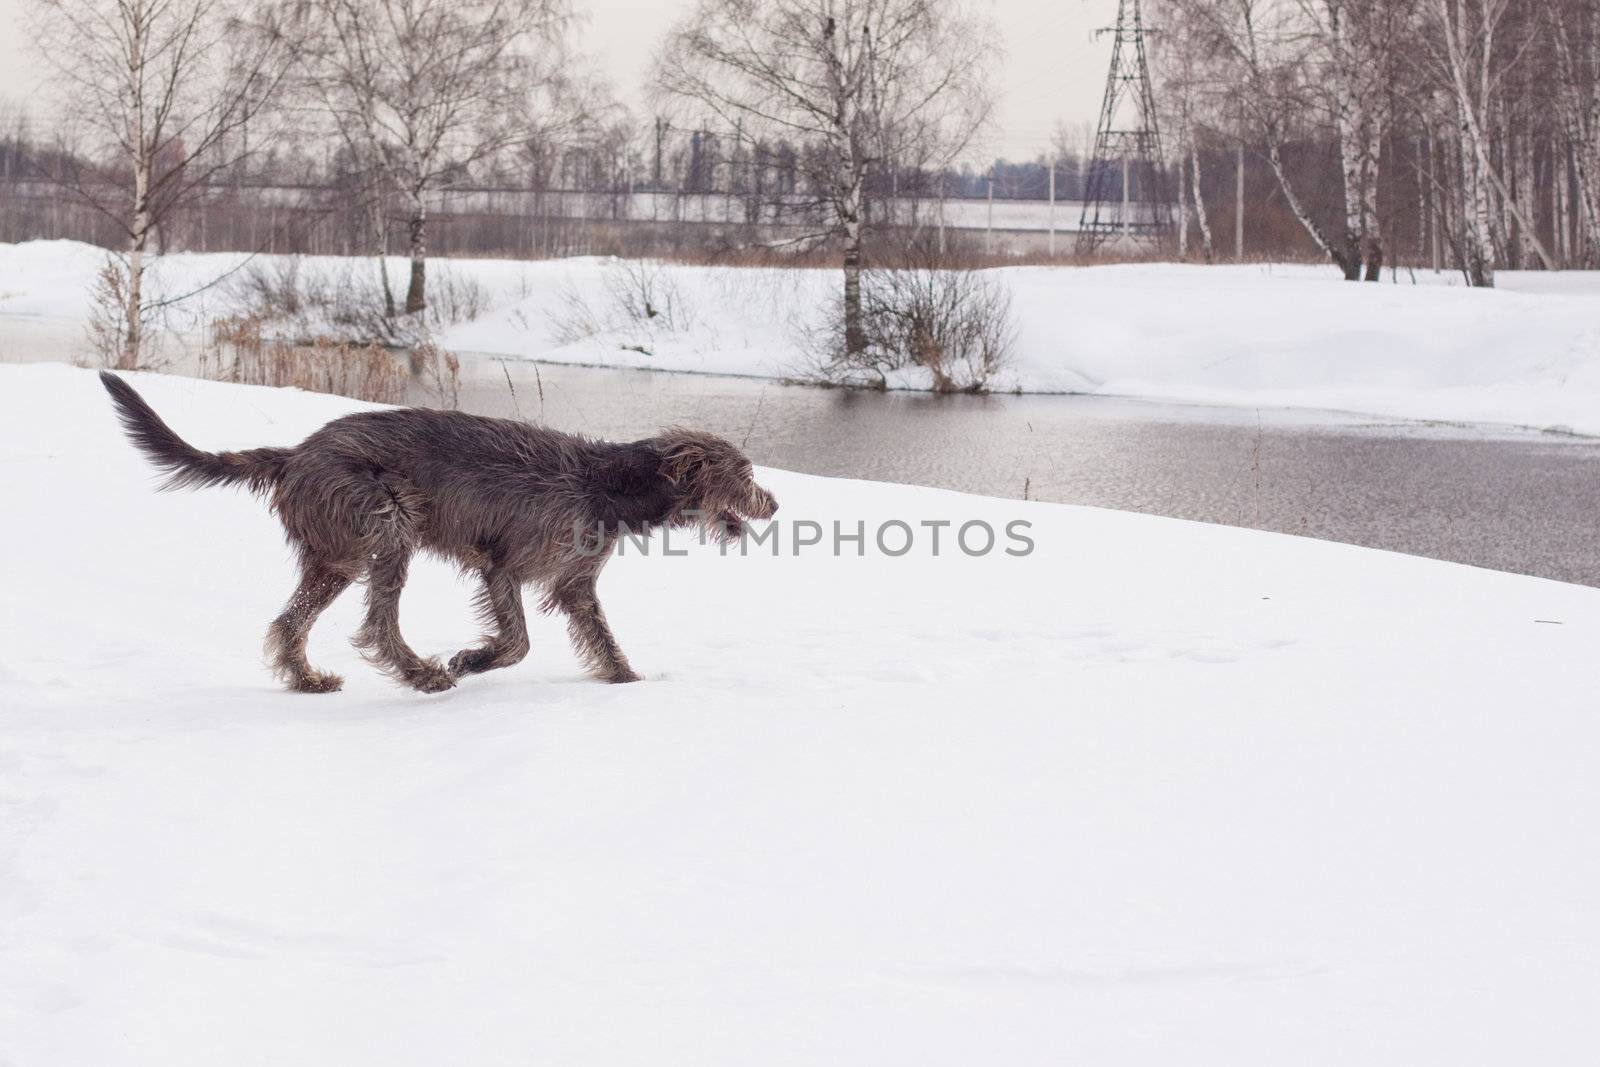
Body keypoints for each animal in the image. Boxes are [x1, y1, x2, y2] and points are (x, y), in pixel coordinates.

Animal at [98, 371, 774, 697]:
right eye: (744, 473)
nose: (773, 501)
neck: (608, 484)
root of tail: (296, 454)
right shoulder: (503, 566)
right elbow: (518, 641)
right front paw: (472, 660)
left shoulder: (576, 585)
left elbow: (602, 638)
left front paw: (630, 684)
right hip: (387, 529)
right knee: (377, 624)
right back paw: (423, 674)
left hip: (336, 558)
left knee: (290, 623)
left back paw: (308, 681)